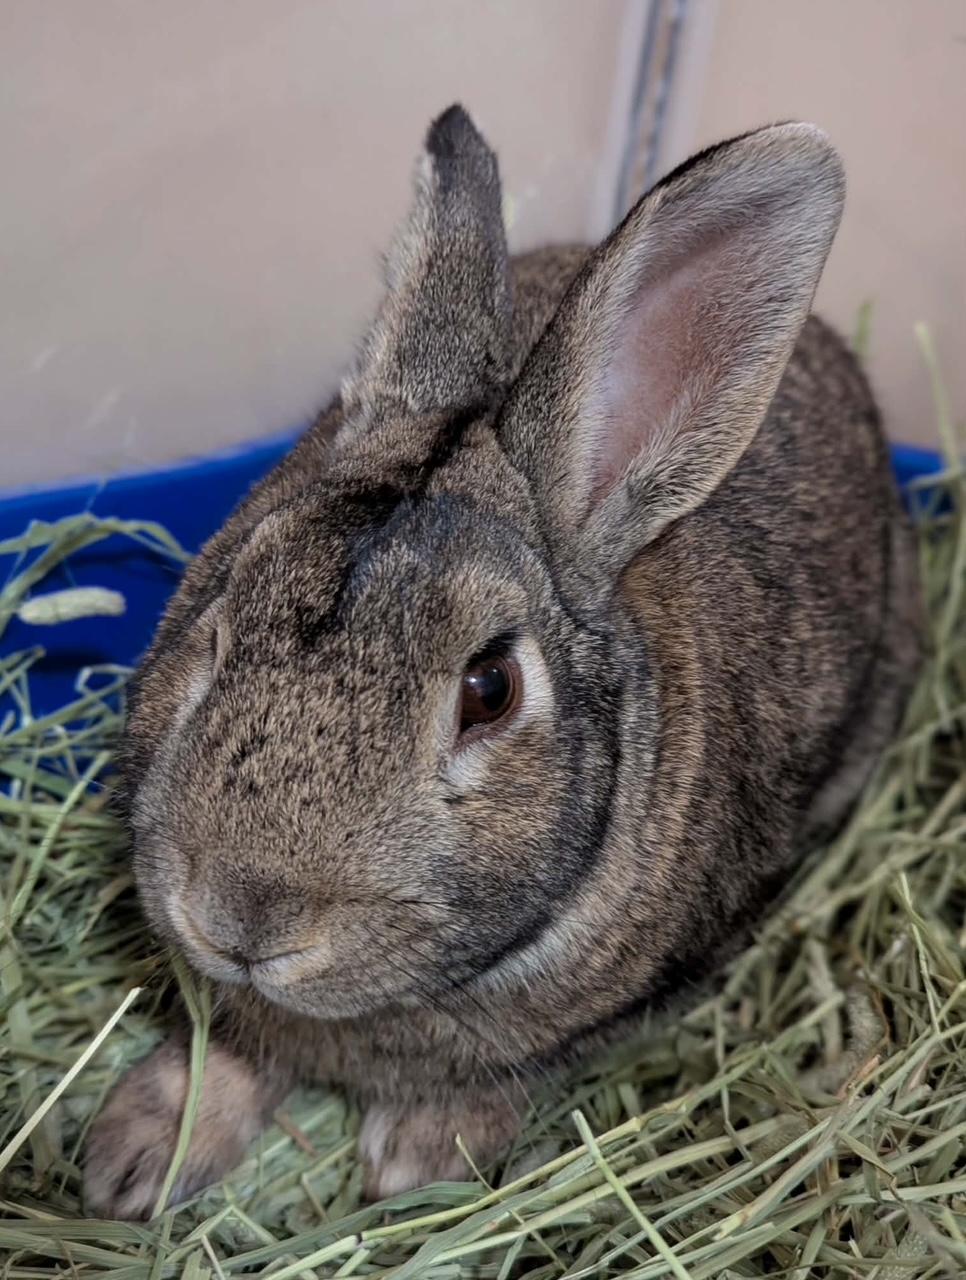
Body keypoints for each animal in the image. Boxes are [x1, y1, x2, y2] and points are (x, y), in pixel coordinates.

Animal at [83, 105, 921, 1219]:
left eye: (491, 691)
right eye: (217, 622)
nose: (241, 919)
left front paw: (420, 1159)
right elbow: (227, 1043)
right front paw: (135, 1159)